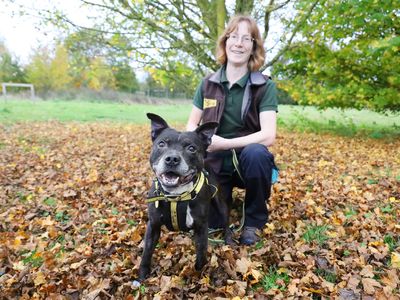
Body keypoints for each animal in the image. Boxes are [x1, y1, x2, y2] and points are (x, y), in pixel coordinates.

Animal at [138, 113, 230, 280]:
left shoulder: (201, 228)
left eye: (191, 148)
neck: (176, 196)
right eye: (161, 144)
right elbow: (147, 252)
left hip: (220, 203)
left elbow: (201, 255)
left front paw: (198, 275)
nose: (172, 159)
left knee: (226, 223)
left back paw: (229, 240)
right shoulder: (153, 225)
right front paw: (142, 276)